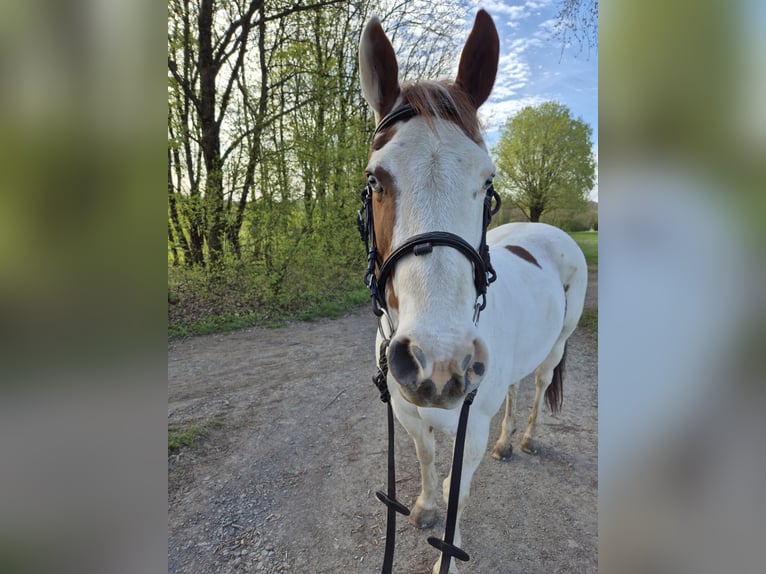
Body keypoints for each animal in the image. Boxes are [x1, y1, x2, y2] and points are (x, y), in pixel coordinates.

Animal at [358, 10, 588, 573]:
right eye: (375, 179)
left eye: (488, 182)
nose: (439, 362)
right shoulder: (406, 411)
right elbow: (426, 457)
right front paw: (422, 508)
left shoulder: (471, 429)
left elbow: (457, 489)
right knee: (515, 389)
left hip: (556, 346)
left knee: (536, 388)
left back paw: (522, 440)